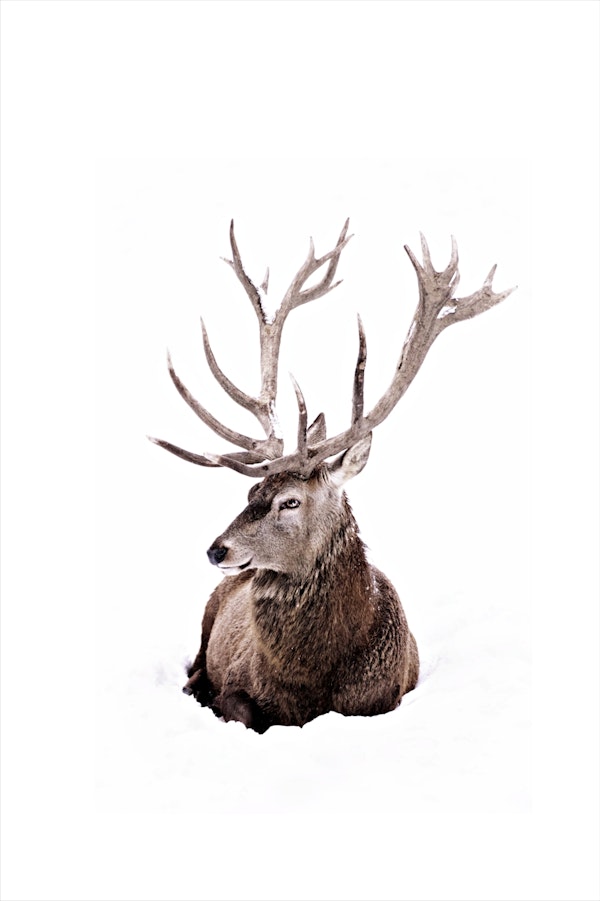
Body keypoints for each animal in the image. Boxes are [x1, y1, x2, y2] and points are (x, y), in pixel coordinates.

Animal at [149, 219, 515, 733]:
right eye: (251, 489)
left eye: (290, 500)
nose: (217, 549)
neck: (311, 682)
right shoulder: (238, 682)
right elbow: (240, 708)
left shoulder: (385, 696)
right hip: (207, 617)